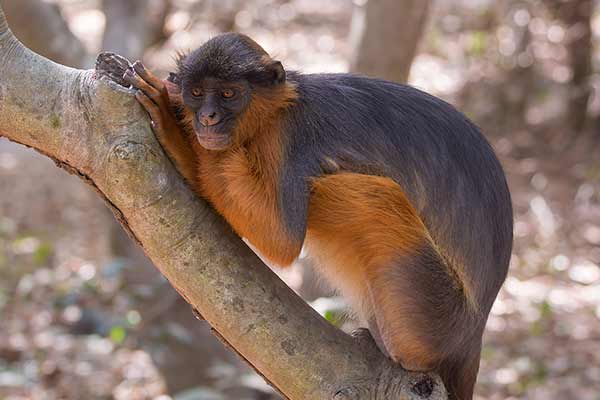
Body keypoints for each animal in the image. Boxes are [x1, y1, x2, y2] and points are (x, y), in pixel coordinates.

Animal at [120, 32, 510, 398]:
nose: (207, 117)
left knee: (374, 195)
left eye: (229, 94)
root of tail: (473, 335)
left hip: (433, 319)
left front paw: (172, 125)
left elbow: (282, 240)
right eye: (198, 93)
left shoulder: (288, 142)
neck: (275, 113)